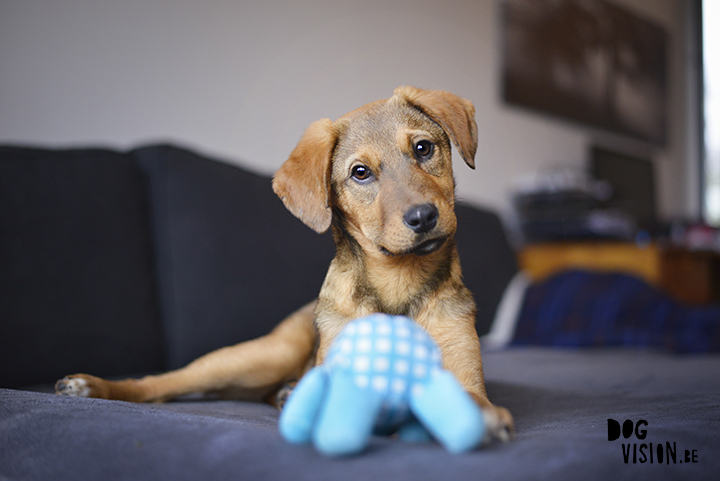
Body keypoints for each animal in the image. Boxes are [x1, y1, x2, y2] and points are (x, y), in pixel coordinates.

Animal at [57, 85, 516, 438]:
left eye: (423, 148)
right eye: (360, 173)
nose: (423, 217)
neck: (397, 282)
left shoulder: (463, 365)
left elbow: (468, 395)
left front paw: (478, 415)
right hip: (262, 354)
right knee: (163, 382)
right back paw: (91, 386)